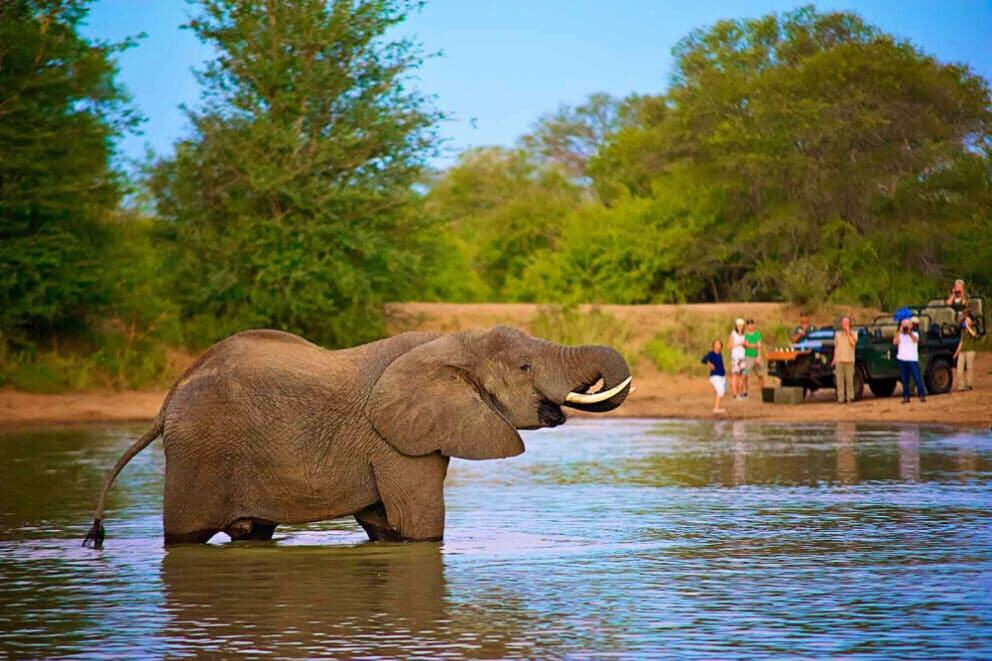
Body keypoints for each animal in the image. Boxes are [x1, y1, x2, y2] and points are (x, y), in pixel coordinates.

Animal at [82, 326, 632, 547]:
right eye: (524, 367)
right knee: (185, 535)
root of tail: (168, 399)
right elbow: (420, 522)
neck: (449, 342)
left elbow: (384, 522)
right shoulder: (394, 440)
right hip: (199, 454)